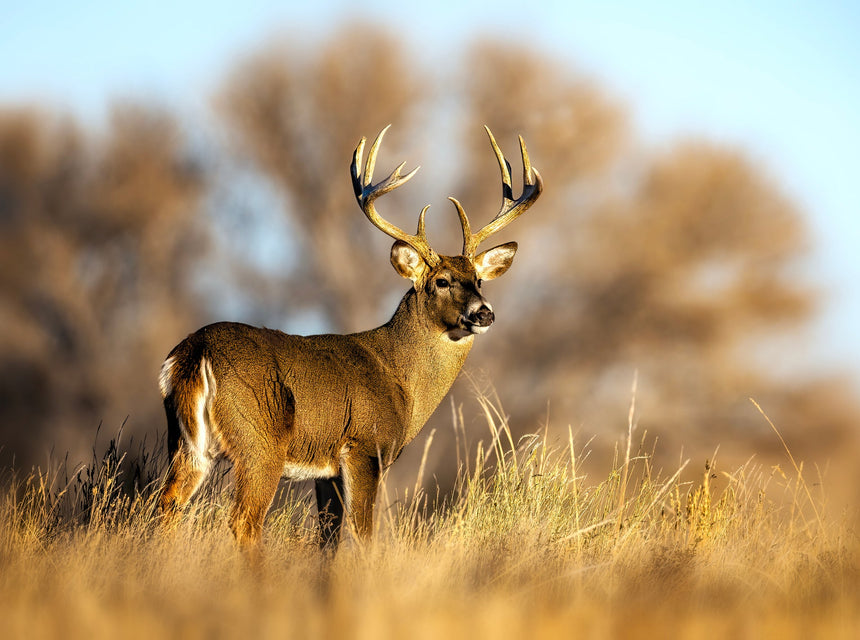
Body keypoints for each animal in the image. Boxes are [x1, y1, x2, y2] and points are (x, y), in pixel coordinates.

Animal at [157, 125, 542, 550]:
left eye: (478, 280)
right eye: (442, 281)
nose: (484, 313)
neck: (400, 379)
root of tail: (195, 352)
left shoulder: (326, 471)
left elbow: (328, 538)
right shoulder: (363, 448)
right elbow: (362, 535)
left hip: (187, 443)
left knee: (166, 505)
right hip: (259, 441)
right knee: (244, 520)